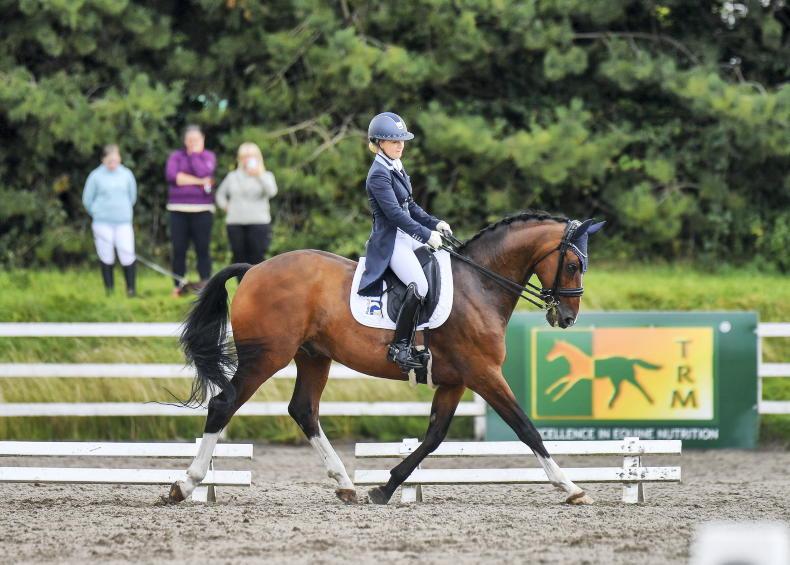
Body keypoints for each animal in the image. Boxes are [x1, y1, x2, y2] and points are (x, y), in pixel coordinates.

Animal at [166, 212, 602, 506]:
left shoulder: (455, 380)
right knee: (223, 404)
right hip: (266, 358)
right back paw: (184, 485)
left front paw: (386, 487)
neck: (480, 285)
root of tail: (255, 268)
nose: (566, 318)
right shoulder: (483, 373)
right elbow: (526, 428)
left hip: (313, 357)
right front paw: (571, 487)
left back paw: (345, 485)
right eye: (572, 264)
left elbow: (434, 436)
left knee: (303, 410)